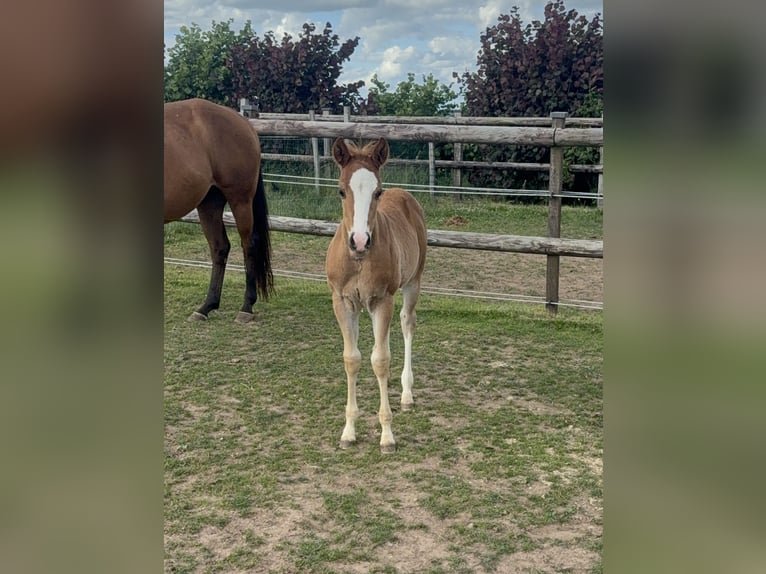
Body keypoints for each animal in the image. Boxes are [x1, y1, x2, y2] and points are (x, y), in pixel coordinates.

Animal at [164, 98, 273, 323]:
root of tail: (243, 122)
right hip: (209, 204)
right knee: (219, 247)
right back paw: (206, 306)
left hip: (240, 200)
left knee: (248, 244)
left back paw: (246, 307)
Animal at [325, 138, 428, 453]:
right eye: (341, 190)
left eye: (377, 191)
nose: (359, 241)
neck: (359, 261)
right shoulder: (343, 302)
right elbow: (352, 359)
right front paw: (348, 431)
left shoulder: (383, 300)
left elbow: (381, 360)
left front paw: (387, 436)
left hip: (412, 283)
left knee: (407, 323)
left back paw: (406, 393)